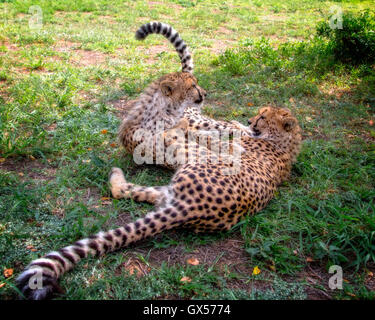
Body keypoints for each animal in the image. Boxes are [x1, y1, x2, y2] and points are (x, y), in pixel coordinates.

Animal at [16, 106, 302, 298]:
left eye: (264, 117)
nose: (251, 120)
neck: (286, 144)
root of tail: (187, 208)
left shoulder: (228, 147)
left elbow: (222, 136)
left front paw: (233, 127)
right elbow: (227, 131)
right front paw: (236, 124)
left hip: (196, 158)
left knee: (173, 137)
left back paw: (174, 127)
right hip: (168, 190)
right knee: (126, 191)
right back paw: (117, 175)